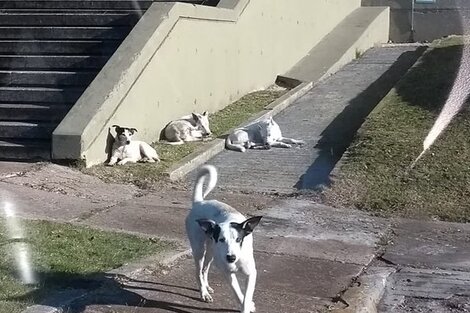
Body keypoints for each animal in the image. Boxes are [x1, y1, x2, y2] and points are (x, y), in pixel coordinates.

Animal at [185, 165, 262, 310]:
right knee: (198, 272)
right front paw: (244, 304)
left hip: (211, 250)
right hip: (199, 249)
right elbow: (238, 293)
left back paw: (207, 287)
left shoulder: (251, 273)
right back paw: (204, 292)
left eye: (238, 239)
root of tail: (199, 202)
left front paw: (248, 304)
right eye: (221, 239)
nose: (231, 258)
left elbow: (247, 295)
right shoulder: (227, 273)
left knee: (205, 269)